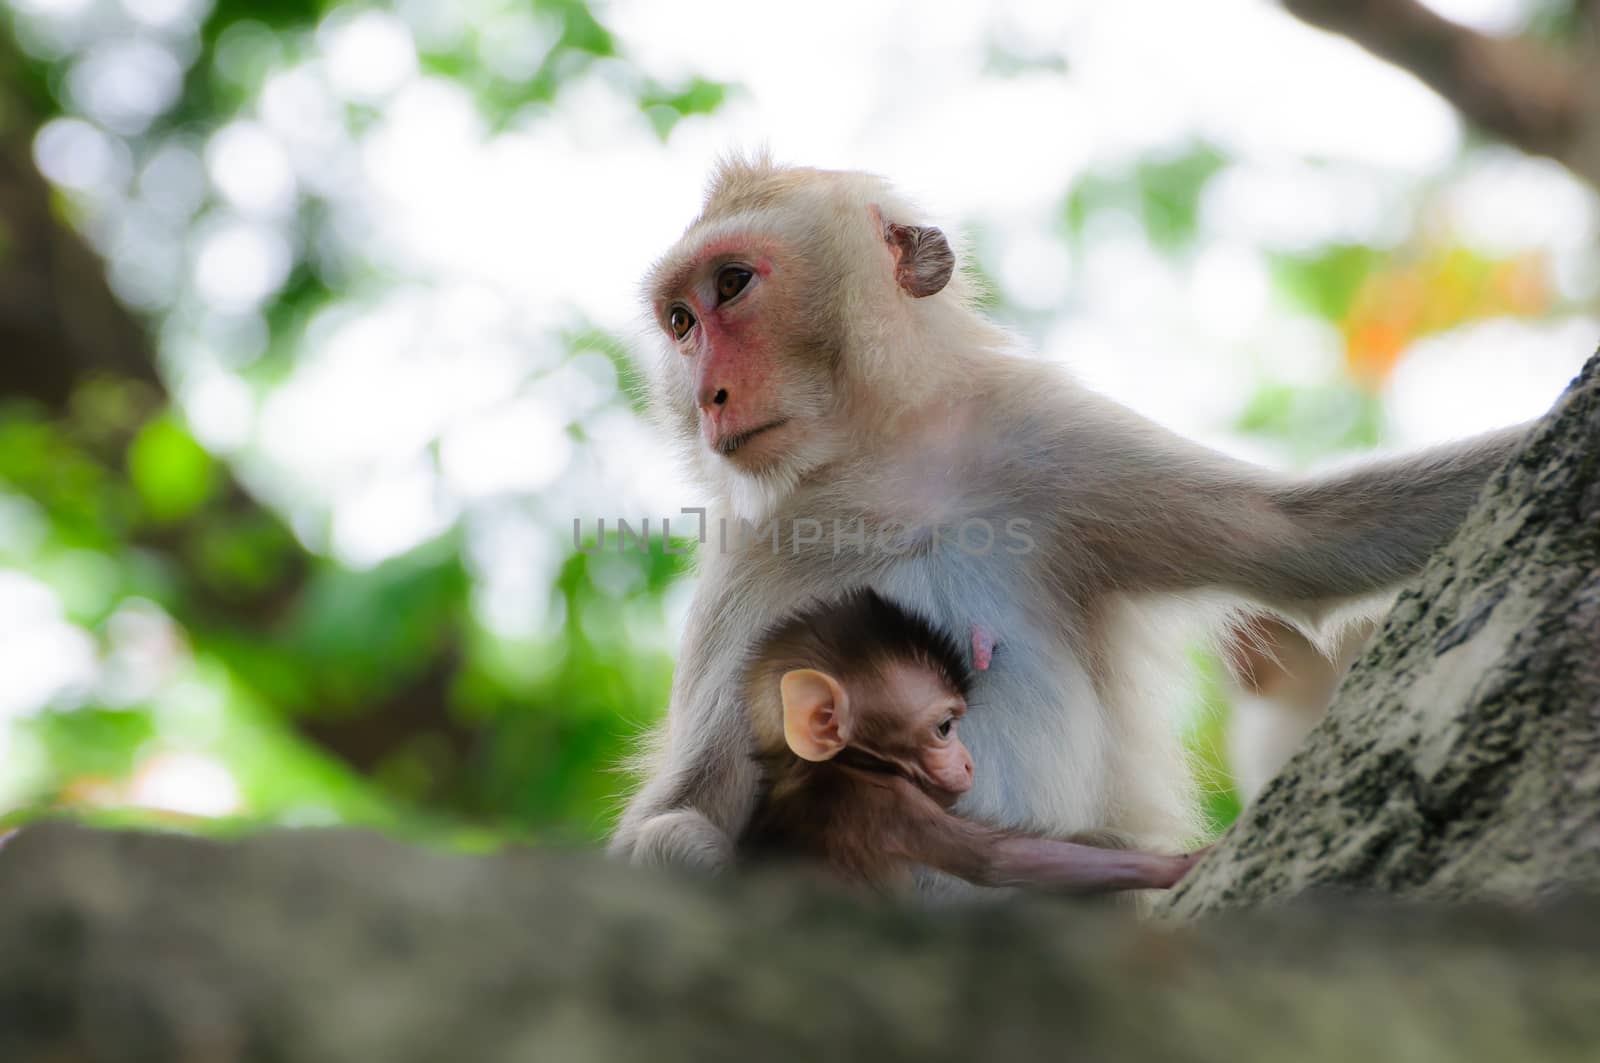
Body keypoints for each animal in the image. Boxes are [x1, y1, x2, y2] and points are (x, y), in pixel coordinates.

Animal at [736, 592, 1203, 890]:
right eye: (945, 728)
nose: (967, 762)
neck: (838, 767)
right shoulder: (889, 805)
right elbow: (1000, 860)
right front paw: (1180, 867)